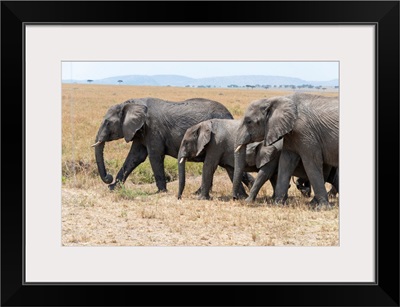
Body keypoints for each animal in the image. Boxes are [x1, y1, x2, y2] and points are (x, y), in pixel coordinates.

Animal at [92, 97, 233, 192]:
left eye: (108, 123)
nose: (108, 177)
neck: (131, 104)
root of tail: (230, 116)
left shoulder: (153, 129)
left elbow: (155, 156)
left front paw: (161, 191)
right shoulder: (140, 131)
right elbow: (135, 157)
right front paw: (112, 188)